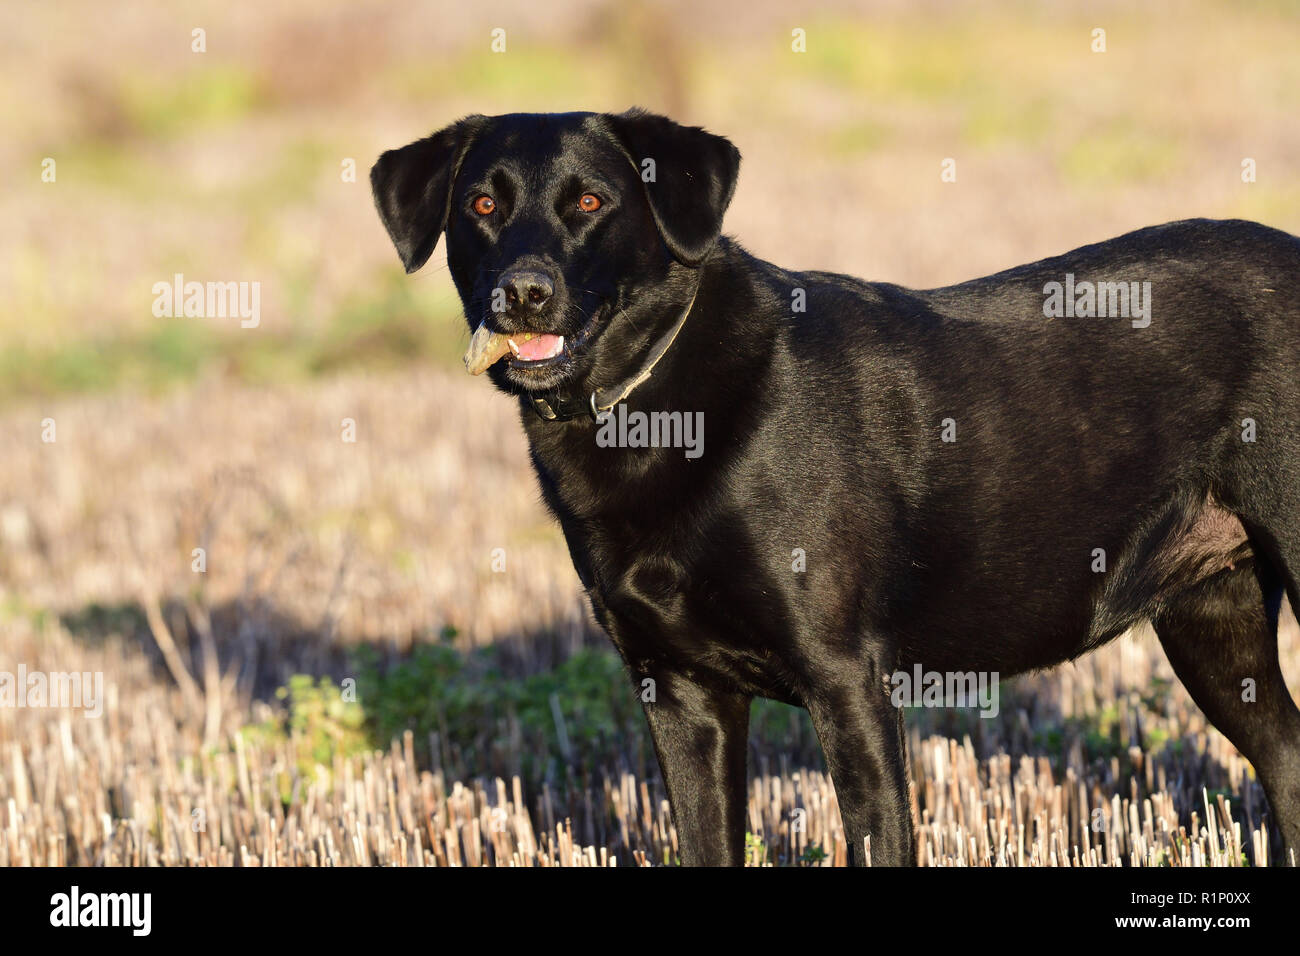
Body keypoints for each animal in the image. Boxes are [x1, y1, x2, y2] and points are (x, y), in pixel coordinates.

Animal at [369, 108, 1300, 863]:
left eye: (591, 203)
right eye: (480, 207)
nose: (522, 293)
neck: (651, 408)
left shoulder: (848, 683)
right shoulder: (679, 694)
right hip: (1210, 619)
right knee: (1287, 765)